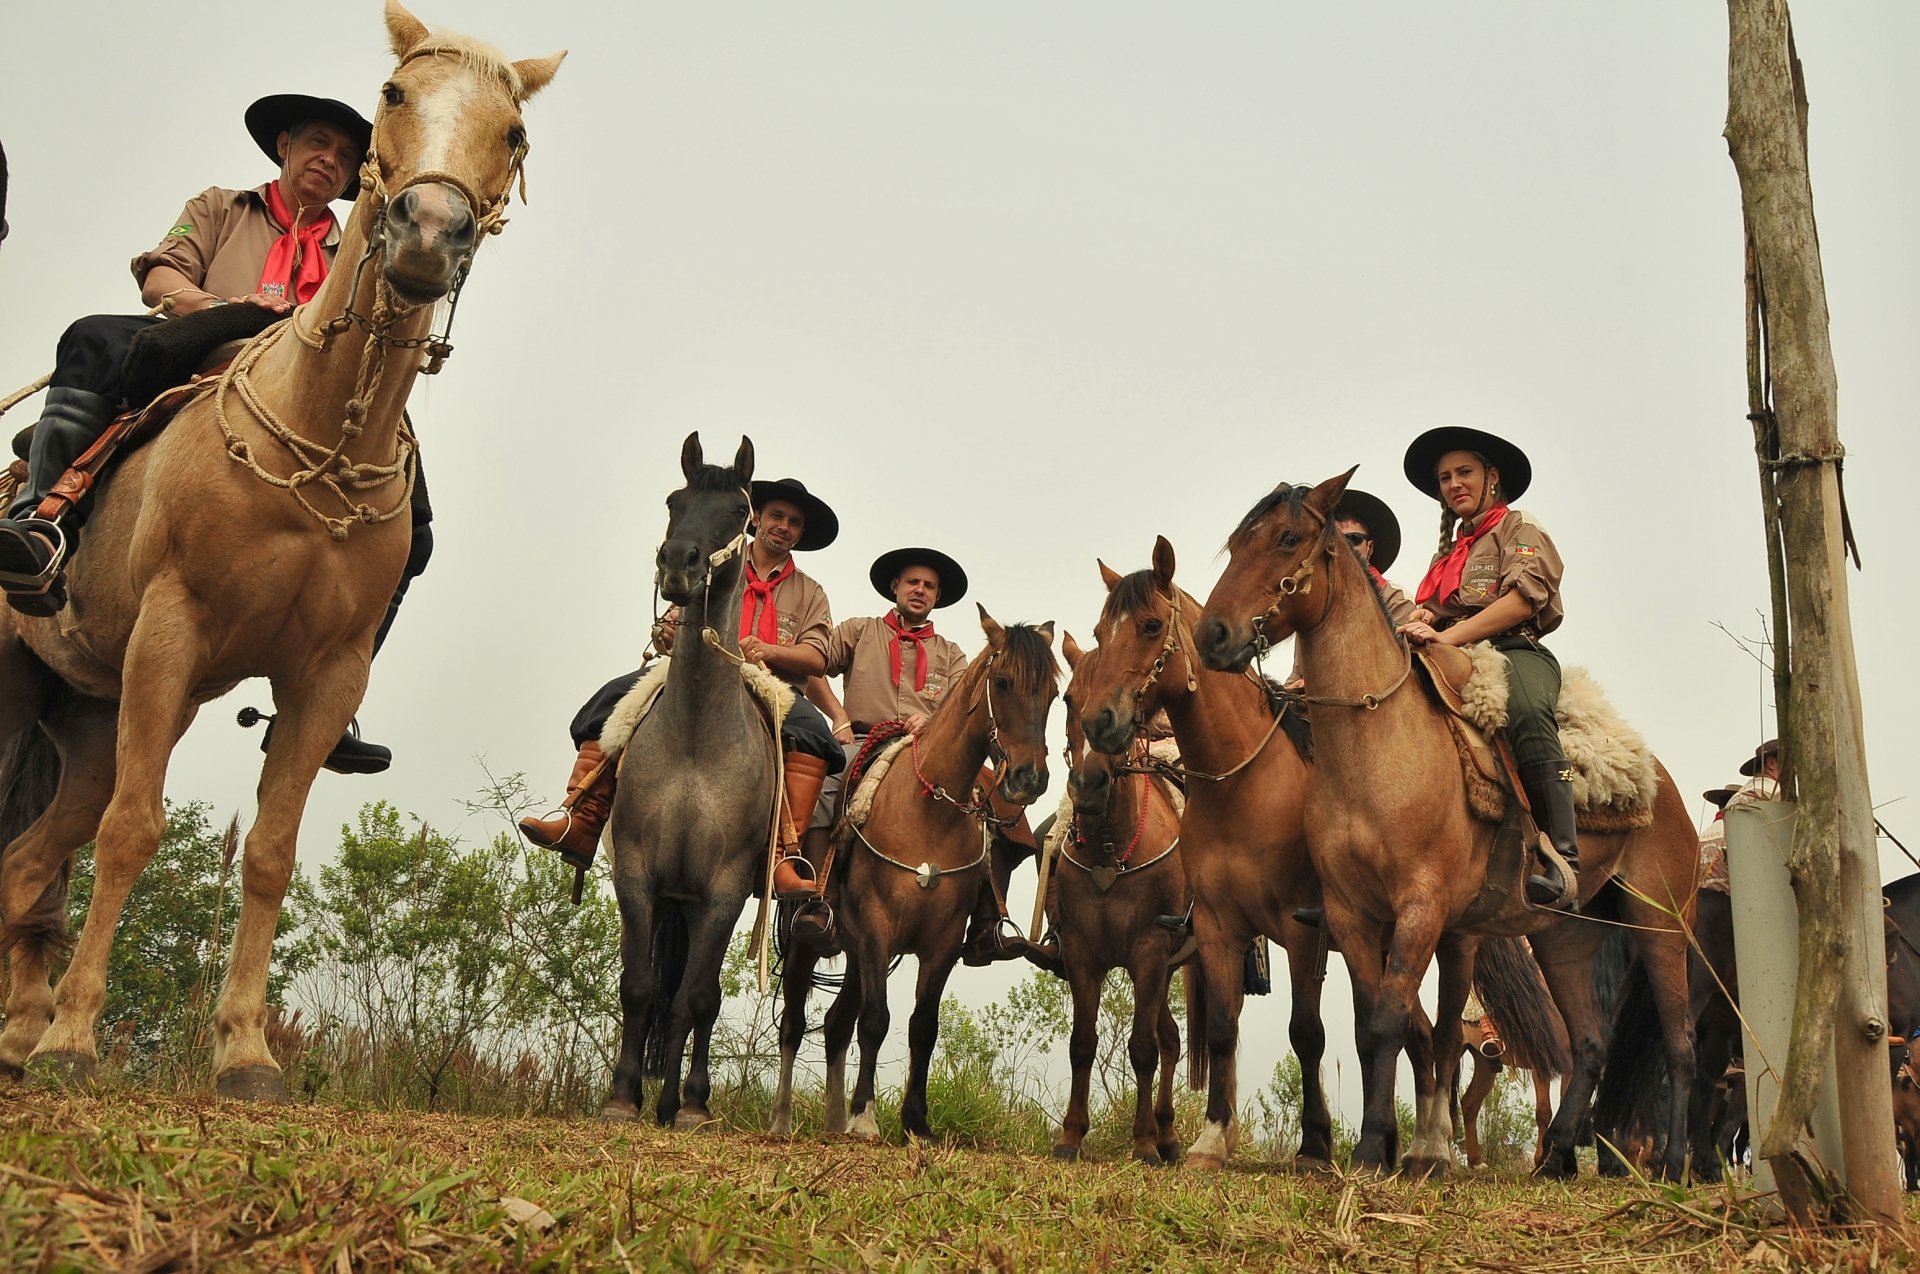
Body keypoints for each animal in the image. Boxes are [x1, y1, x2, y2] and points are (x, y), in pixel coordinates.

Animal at [0, 0, 564, 1097]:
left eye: (514, 134)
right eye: (394, 93)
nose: (428, 231)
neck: (316, 441)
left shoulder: (325, 675)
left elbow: (268, 851)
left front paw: (244, 1051)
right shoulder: (170, 635)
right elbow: (134, 828)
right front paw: (75, 1038)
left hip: (87, 713)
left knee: (28, 861)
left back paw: (12, 1034)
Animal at [768, 613, 1067, 1135]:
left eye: (1051, 692)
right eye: (1002, 682)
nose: (1029, 778)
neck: (928, 810)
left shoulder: (941, 941)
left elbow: (922, 1026)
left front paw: (915, 1123)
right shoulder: (876, 925)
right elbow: (876, 1021)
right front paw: (866, 1119)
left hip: (856, 952)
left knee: (836, 1024)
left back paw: (833, 1121)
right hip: (813, 940)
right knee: (795, 1022)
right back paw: (784, 1120)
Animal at [1044, 637, 1190, 1166]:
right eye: (1068, 700)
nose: (1088, 785)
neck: (1111, 851)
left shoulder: (1149, 953)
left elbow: (1142, 1048)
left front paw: (1143, 1142)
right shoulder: (1082, 954)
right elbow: (1082, 1043)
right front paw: (1071, 1136)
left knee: (1166, 1042)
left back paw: (1163, 1137)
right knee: (1171, 1038)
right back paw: (1168, 1134)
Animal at [1198, 471, 1697, 1181]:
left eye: (1287, 538)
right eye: (1238, 542)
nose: (1212, 634)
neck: (1375, 747)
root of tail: (1660, 784)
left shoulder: (1421, 907)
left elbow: (1391, 1024)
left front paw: (1372, 1149)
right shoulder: (1350, 914)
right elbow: (1373, 1028)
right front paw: (1384, 1147)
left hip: (1662, 924)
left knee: (1678, 1044)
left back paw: (1678, 1162)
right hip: (1563, 935)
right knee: (1590, 1044)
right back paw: (1555, 1160)